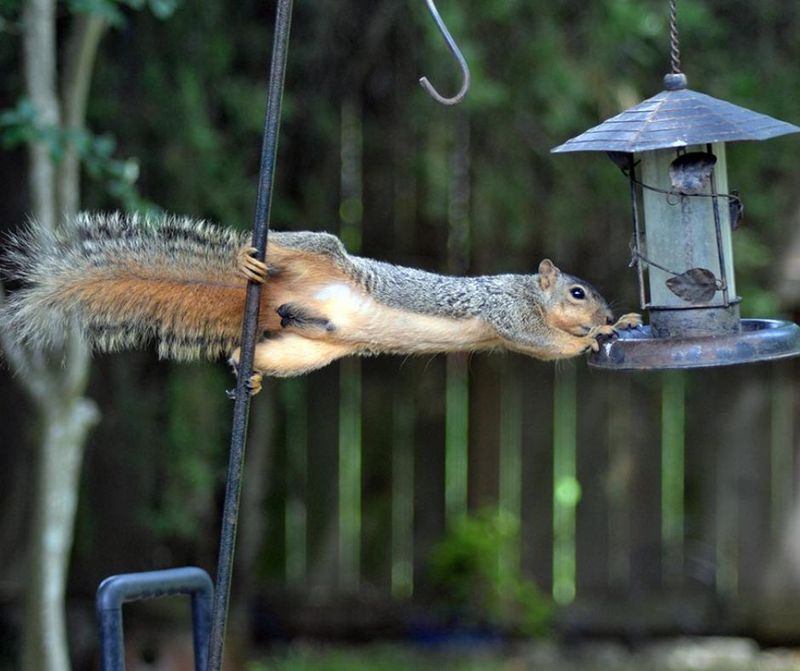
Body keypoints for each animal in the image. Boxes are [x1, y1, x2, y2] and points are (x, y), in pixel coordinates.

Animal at [2, 212, 641, 392]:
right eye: (577, 292)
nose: (609, 314)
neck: (531, 291)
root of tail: (278, 293)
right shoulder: (507, 312)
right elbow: (541, 341)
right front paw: (597, 334)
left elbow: (548, 350)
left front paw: (626, 321)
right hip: (320, 251)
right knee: (291, 243)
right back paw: (247, 256)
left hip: (308, 349)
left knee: (259, 352)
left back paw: (249, 372)